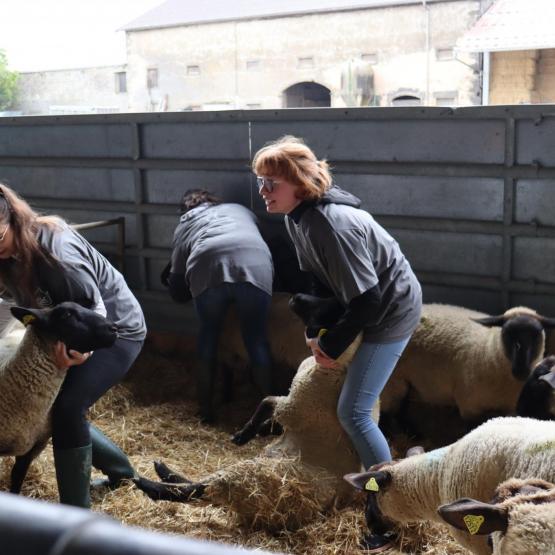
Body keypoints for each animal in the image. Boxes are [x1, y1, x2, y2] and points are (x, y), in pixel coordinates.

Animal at [134, 294, 378, 532]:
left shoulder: (294, 407)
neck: (340, 366)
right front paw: (261, 430)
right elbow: (271, 411)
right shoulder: (291, 407)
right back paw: (163, 471)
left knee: (201, 488)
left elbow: (266, 401)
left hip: (256, 479)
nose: (296, 297)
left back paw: (149, 483)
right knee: (202, 486)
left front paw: (244, 434)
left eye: (326, 306)